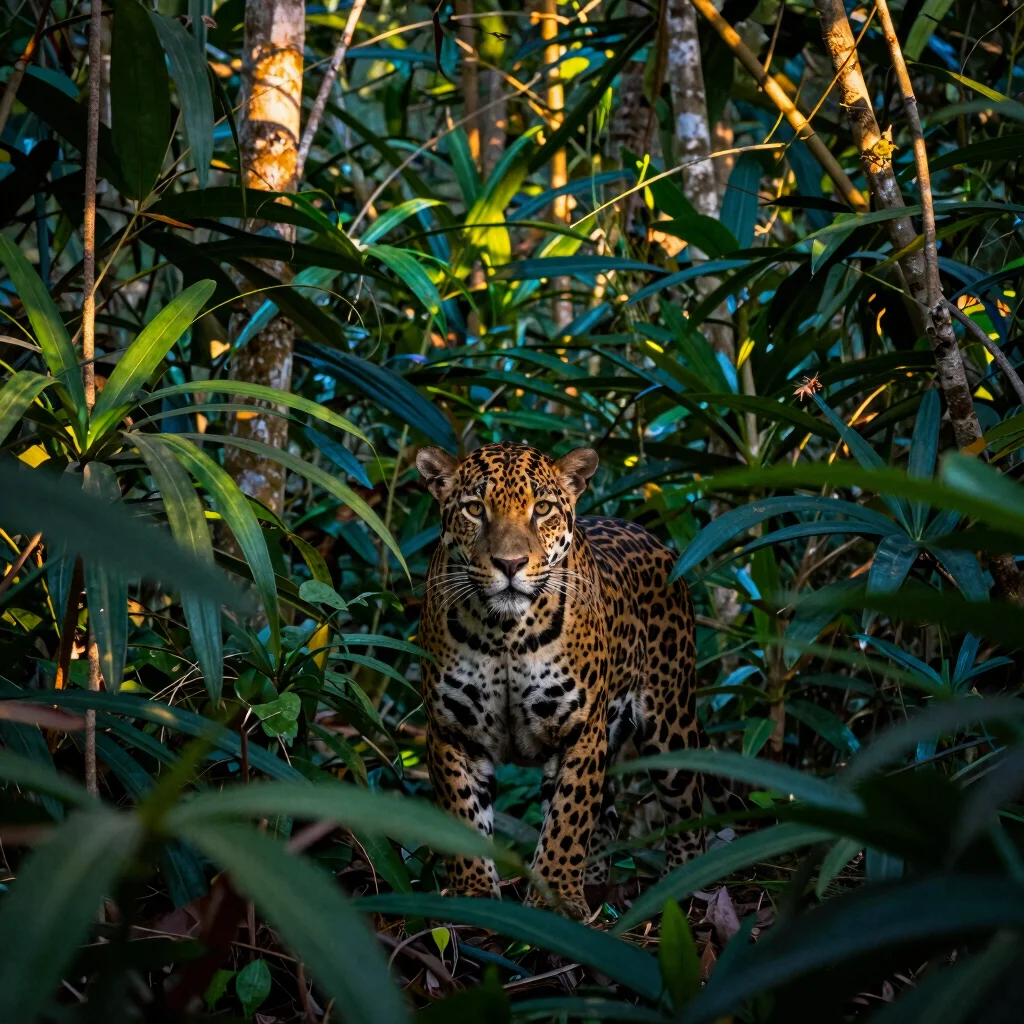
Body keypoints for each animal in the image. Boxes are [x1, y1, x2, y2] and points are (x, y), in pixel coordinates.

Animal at [415, 441, 704, 919]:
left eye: (543, 508)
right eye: (475, 509)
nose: (509, 564)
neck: (505, 632)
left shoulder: (579, 730)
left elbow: (568, 820)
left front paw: (556, 898)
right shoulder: (451, 729)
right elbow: (464, 814)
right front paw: (474, 894)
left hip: (672, 727)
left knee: (689, 813)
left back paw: (685, 888)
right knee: (607, 818)